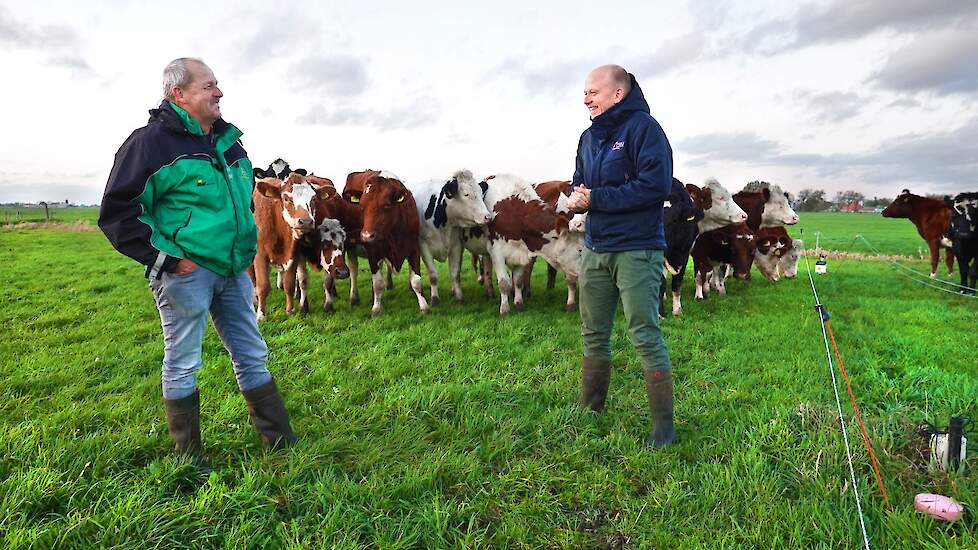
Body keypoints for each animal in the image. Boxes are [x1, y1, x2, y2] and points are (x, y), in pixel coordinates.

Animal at [352, 172, 426, 320]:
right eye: (361, 207)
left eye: (386, 205)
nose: (367, 236)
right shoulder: (373, 251)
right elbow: (377, 283)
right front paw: (376, 308)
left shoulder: (414, 247)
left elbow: (416, 280)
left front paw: (424, 306)